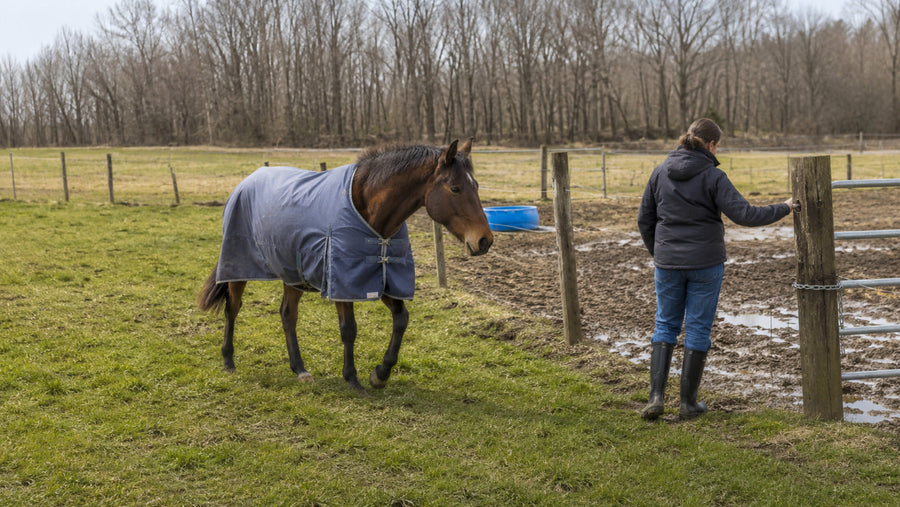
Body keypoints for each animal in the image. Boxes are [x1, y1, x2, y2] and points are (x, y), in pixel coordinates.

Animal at [198, 139, 493, 395]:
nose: (484, 240)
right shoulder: (342, 282)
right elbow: (349, 329)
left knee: (287, 315)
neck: (368, 211)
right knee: (233, 308)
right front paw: (353, 379)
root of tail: (247, 181)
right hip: (238, 266)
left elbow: (401, 319)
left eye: (476, 185)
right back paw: (229, 361)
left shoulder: (380, 278)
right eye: (455, 188)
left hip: (292, 272)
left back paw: (300, 369)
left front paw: (380, 374)